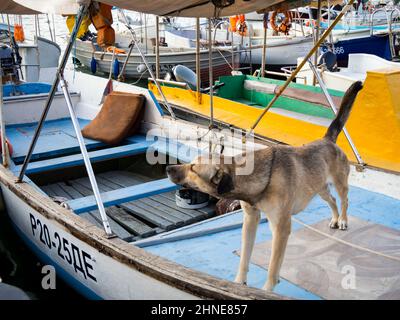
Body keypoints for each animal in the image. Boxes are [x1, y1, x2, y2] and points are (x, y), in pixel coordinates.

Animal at [167, 81, 364, 292]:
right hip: (319, 188)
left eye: (193, 168)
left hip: (339, 183)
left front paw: (267, 290)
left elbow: (272, 266)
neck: (256, 179)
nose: (168, 168)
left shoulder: (281, 227)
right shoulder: (250, 220)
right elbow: (245, 257)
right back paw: (335, 219)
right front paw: (239, 283)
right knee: (332, 200)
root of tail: (327, 140)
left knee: (344, 200)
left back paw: (342, 220)